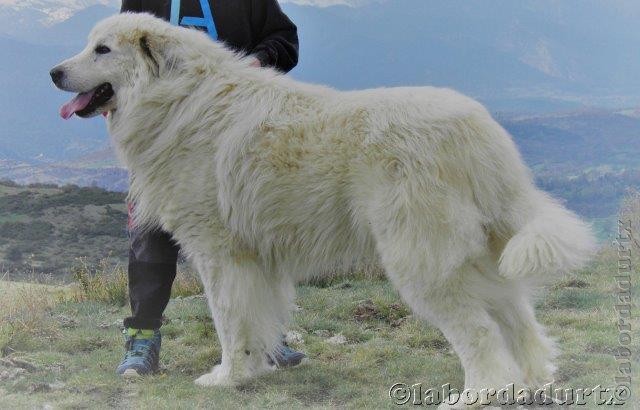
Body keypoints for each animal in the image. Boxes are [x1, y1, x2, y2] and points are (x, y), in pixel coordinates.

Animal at [52, 12, 596, 404]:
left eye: (102, 50)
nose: (53, 71)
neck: (179, 97)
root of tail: (480, 129)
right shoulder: (255, 257)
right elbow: (258, 318)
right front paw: (257, 367)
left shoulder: (219, 252)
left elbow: (228, 320)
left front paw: (228, 377)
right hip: (481, 250)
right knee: (517, 317)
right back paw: (533, 381)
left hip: (420, 258)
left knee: (479, 331)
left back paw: (481, 393)